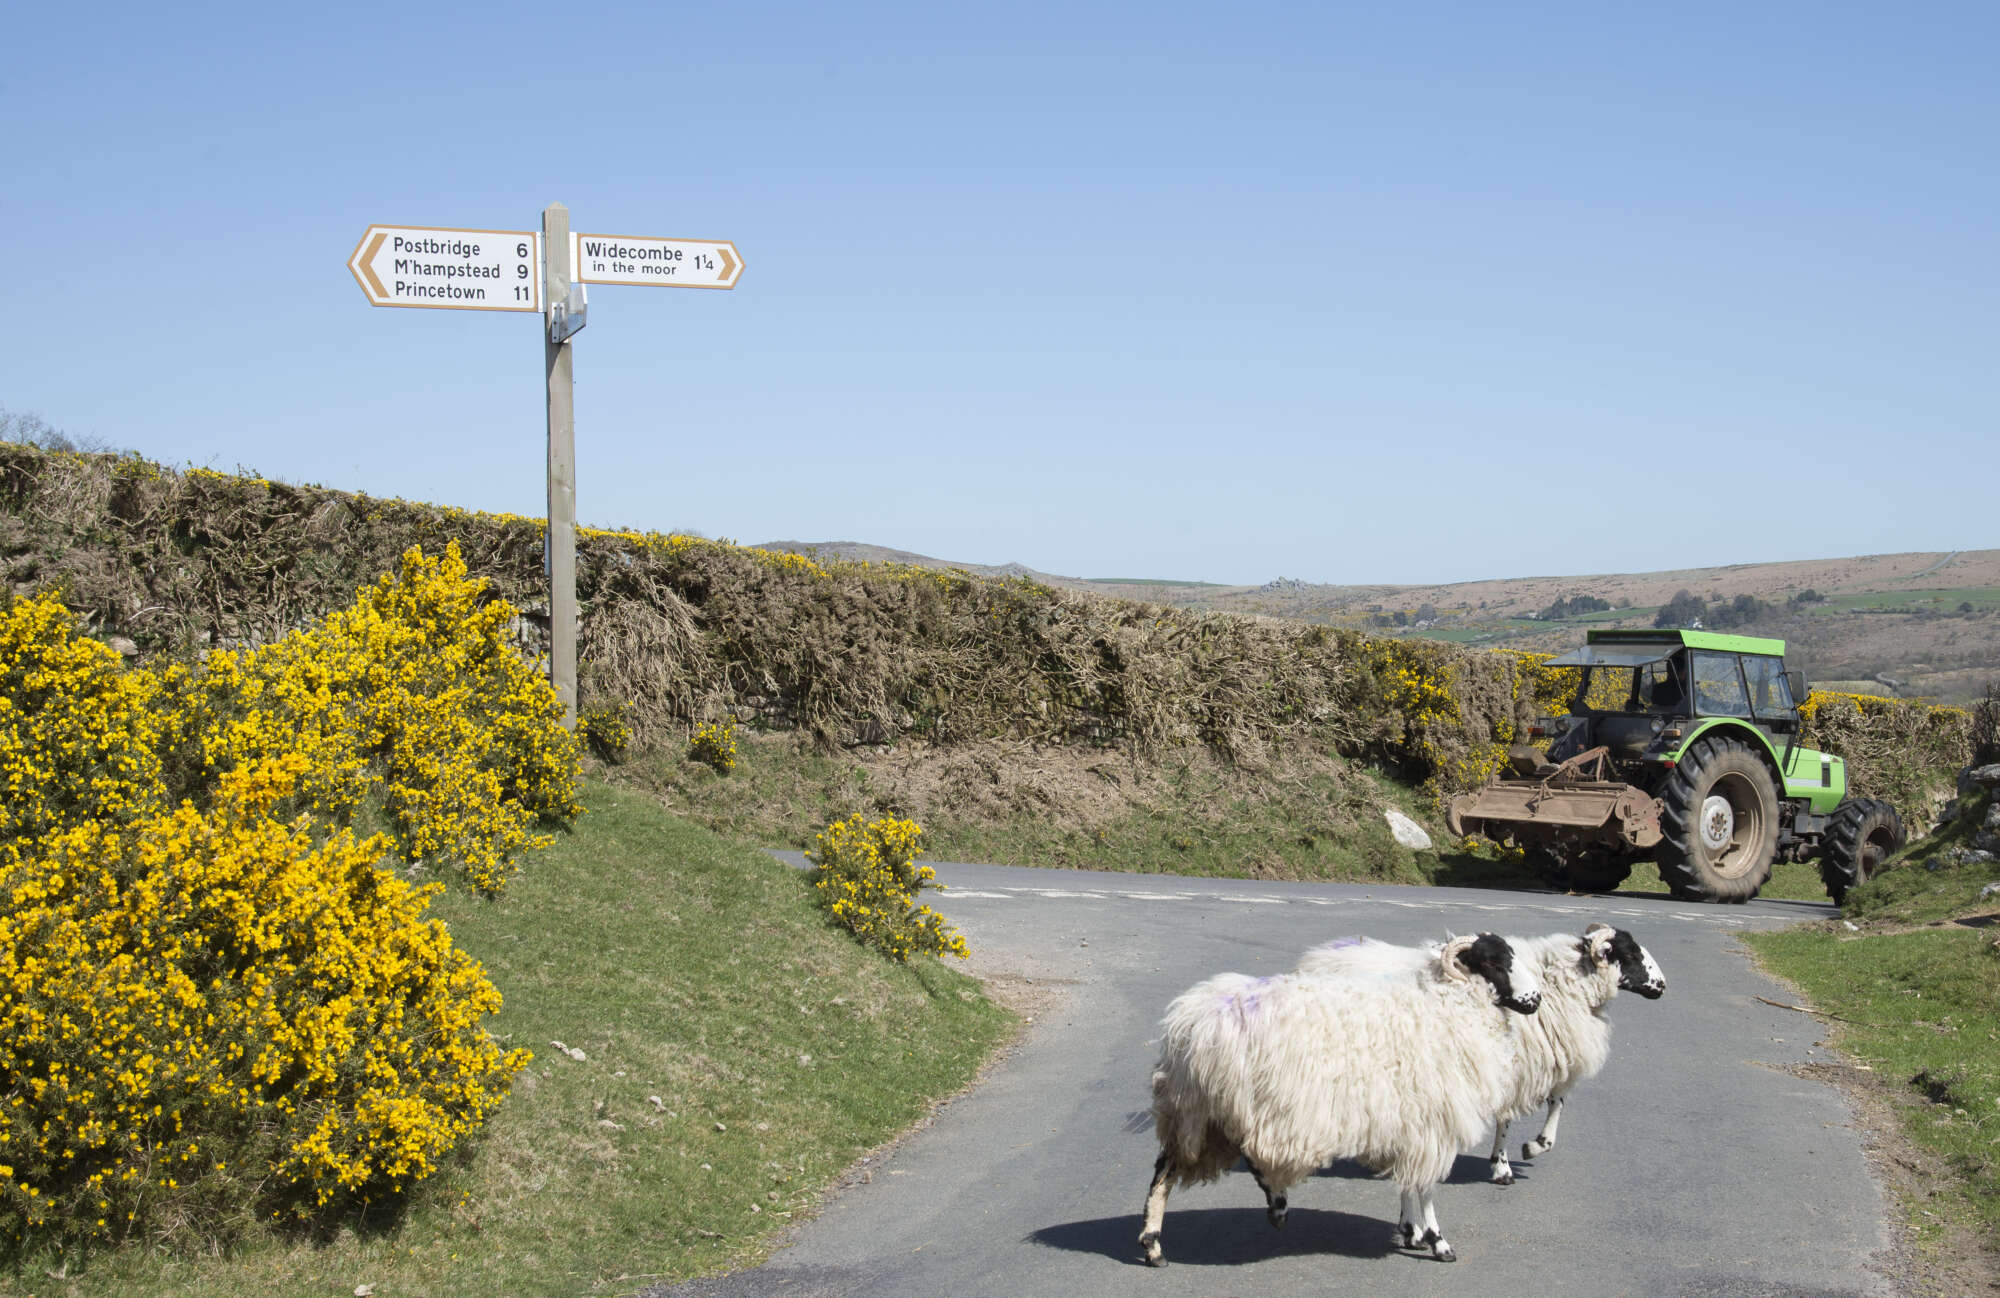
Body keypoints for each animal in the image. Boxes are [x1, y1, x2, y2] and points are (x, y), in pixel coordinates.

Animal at [1136, 932, 1536, 1264]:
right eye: (1495, 963)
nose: (1535, 1001)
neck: (1450, 1005)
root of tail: (1191, 1024)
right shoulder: (1432, 1125)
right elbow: (1424, 1188)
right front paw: (1438, 1242)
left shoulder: (1412, 1125)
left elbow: (1408, 1184)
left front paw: (1411, 1232)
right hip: (1242, 1110)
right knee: (1251, 1157)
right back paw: (1276, 1205)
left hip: (1194, 1115)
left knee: (1164, 1173)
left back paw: (1154, 1246)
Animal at [1288, 920, 1664, 1184]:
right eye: (1631, 955)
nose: (1662, 985)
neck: (1562, 983)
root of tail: (1314, 957)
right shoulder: (1511, 1065)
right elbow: (1506, 1118)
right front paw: (1503, 1167)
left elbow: (1557, 1102)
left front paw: (1536, 1145)